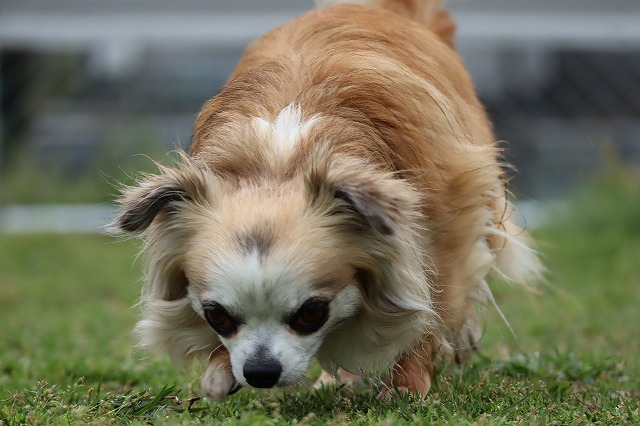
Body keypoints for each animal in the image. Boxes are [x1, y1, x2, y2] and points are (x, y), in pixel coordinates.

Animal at [113, 0, 542, 400]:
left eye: (312, 314)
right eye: (216, 316)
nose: (260, 371)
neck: (284, 162)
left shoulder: (443, 232)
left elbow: (431, 304)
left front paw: (408, 381)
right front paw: (221, 368)